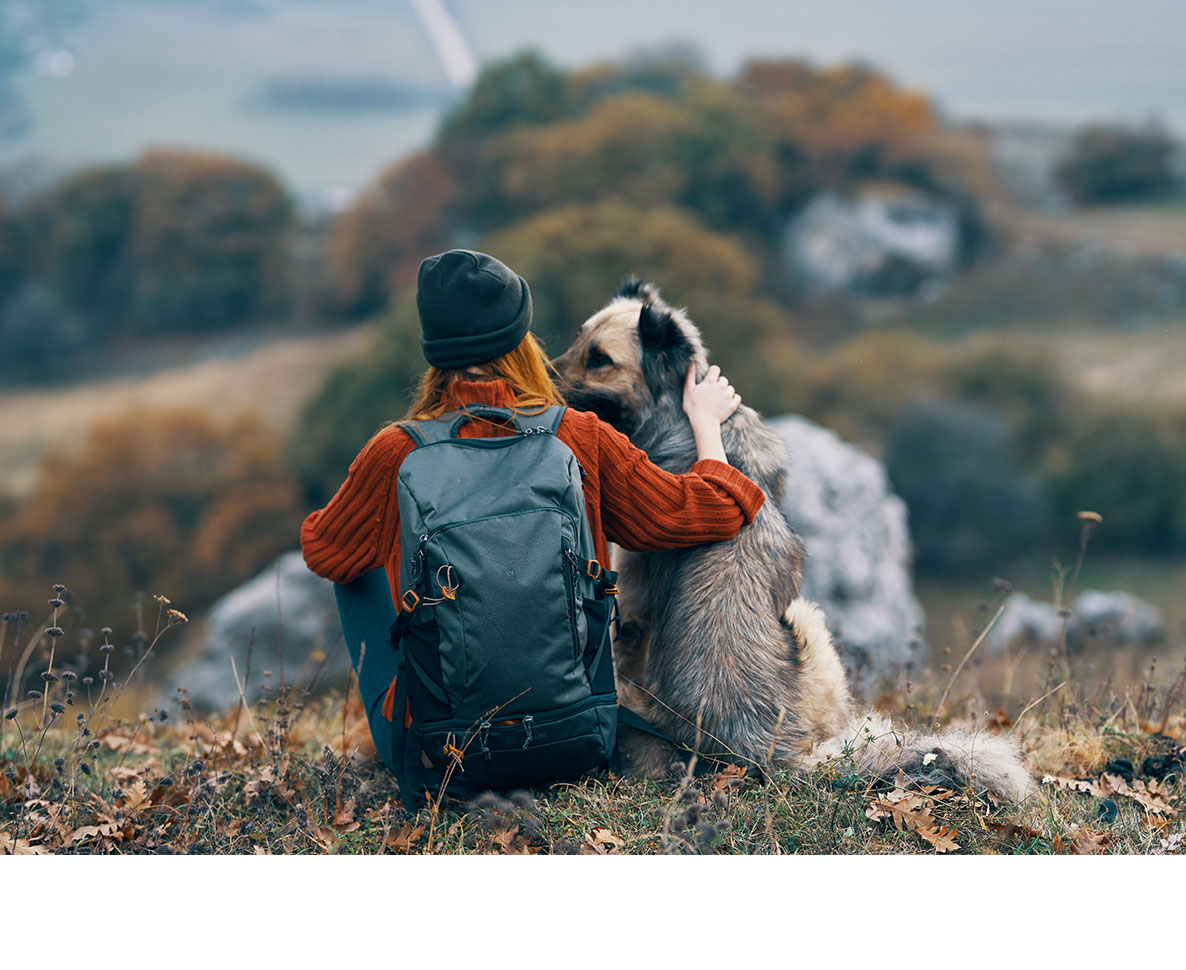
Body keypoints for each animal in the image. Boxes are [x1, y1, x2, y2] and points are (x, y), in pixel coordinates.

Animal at [550, 276, 1034, 796]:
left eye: (600, 358)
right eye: (578, 339)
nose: (543, 378)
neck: (687, 423)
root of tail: (757, 751)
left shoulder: (634, 611)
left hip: (810, 621)